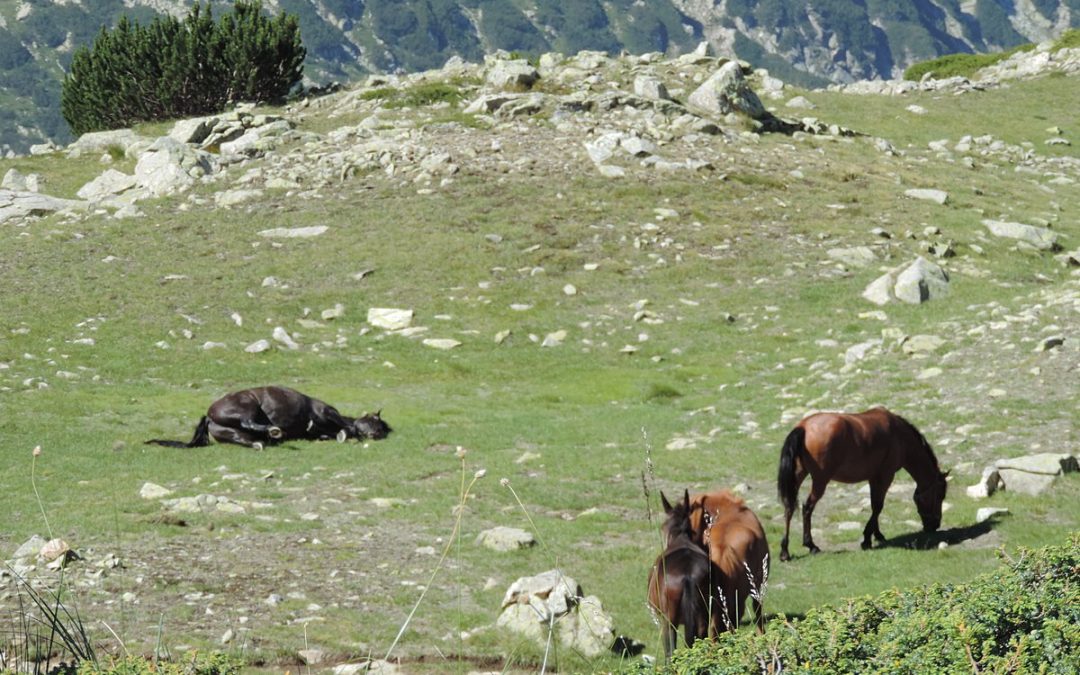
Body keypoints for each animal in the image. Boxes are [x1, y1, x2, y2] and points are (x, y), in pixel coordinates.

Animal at [144, 386, 393, 449]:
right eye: (376, 421)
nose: (378, 434)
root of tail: (210, 415)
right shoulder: (327, 412)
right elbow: (343, 427)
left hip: (231, 433)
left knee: (250, 440)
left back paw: (266, 440)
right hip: (247, 407)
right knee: (249, 422)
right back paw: (273, 431)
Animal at [777, 408, 946, 561]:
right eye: (940, 496)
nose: (935, 525)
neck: (900, 436)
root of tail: (803, 427)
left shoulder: (873, 478)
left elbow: (874, 506)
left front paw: (877, 534)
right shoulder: (886, 476)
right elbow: (878, 506)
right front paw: (866, 539)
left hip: (798, 476)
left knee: (789, 508)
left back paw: (785, 551)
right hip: (820, 481)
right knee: (807, 508)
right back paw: (811, 545)